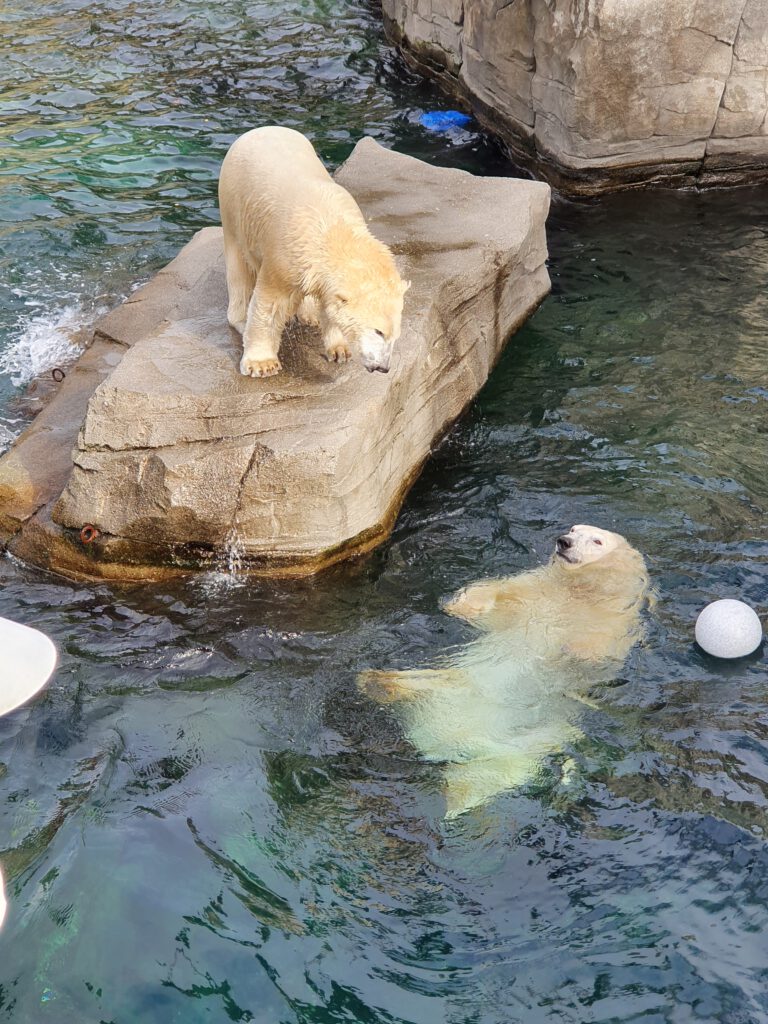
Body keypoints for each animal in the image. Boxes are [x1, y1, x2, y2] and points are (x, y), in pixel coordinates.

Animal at [218, 125, 409, 378]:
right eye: (378, 331)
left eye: (395, 335)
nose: (383, 367)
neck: (333, 229)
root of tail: (260, 129)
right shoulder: (283, 257)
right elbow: (270, 304)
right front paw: (262, 364)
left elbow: (330, 305)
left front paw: (339, 349)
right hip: (233, 207)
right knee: (238, 269)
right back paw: (241, 319)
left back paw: (309, 315)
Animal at [360, 524, 651, 819]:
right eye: (573, 529)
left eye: (597, 540)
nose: (564, 542)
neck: (580, 592)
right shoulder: (534, 593)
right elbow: (492, 606)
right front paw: (460, 601)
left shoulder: (612, 624)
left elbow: (590, 655)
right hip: (454, 687)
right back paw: (376, 682)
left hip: (531, 738)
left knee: (497, 771)